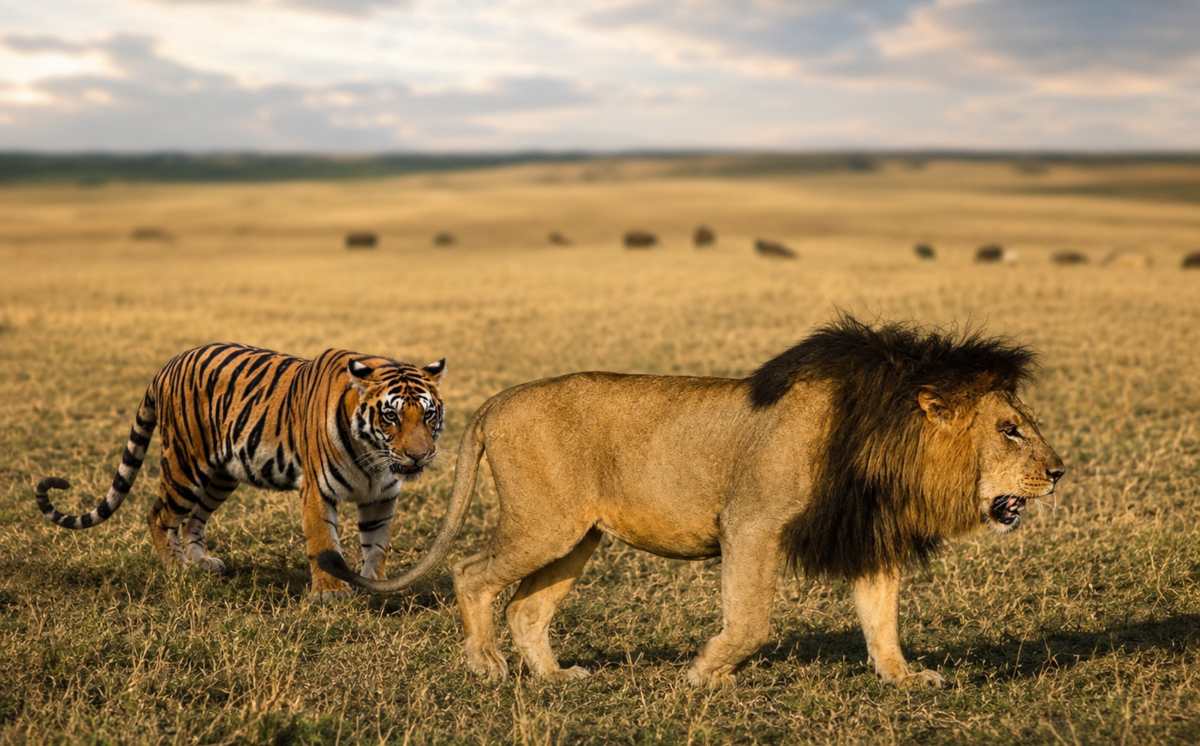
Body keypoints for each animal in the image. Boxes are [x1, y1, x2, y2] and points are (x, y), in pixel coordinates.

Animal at [35, 342, 446, 599]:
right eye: (391, 416)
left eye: (428, 414)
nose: (419, 456)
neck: (372, 456)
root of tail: (168, 364)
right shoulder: (317, 490)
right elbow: (323, 541)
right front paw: (331, 593)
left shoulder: (381, 496)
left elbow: (377, 545)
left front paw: (374, 585)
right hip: (184, 465)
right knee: (160, 515)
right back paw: (177, 570)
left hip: (221, 475)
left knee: (193, 520)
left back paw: (201, 562)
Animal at [319, 315, 1065, 687]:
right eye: (1009, 428)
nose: (1058, 472)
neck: (885, 441)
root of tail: (498, 400)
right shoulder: (752, 524)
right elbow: (752, 620)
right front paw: (705, 675)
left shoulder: (864, 533)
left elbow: (882, 619)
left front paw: (904, 679)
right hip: (544, 522)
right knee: (471, 573)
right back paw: (485, 665)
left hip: (578, 535)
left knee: (527, 606)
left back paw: (556, 676)